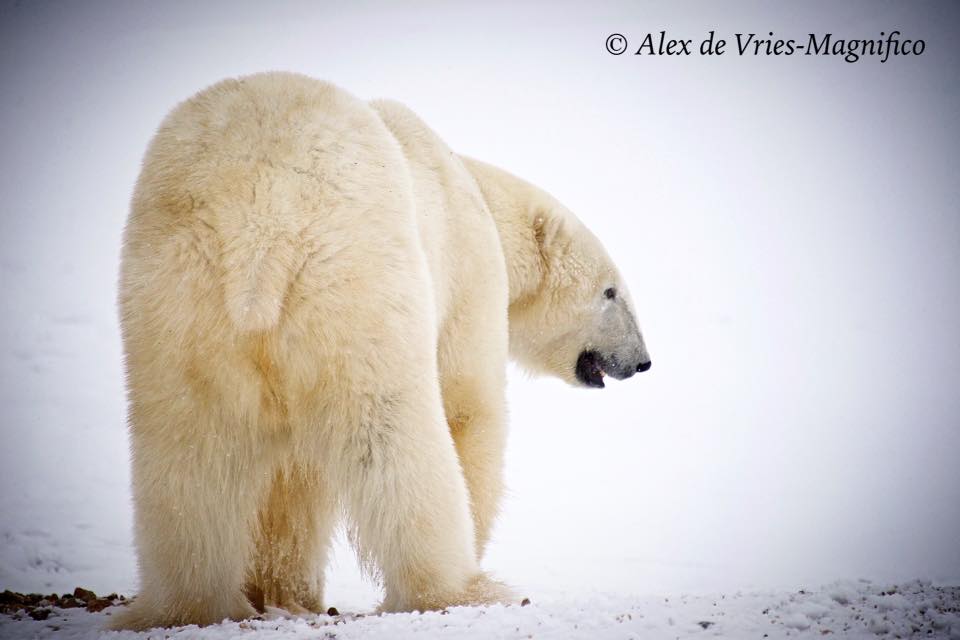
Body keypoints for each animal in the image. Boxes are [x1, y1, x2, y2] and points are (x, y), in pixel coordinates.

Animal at [111, 72, 650, 630]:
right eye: (611, 292)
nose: (642, 361)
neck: (472, 187)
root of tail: (261, 227)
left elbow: (292, 478)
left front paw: (284, 592)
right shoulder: (465, 267)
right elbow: (467, 407)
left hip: (179, 297)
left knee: (189, 451)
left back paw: (185, 606)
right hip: (355, 283)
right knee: (394, 433)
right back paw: (460, 589)